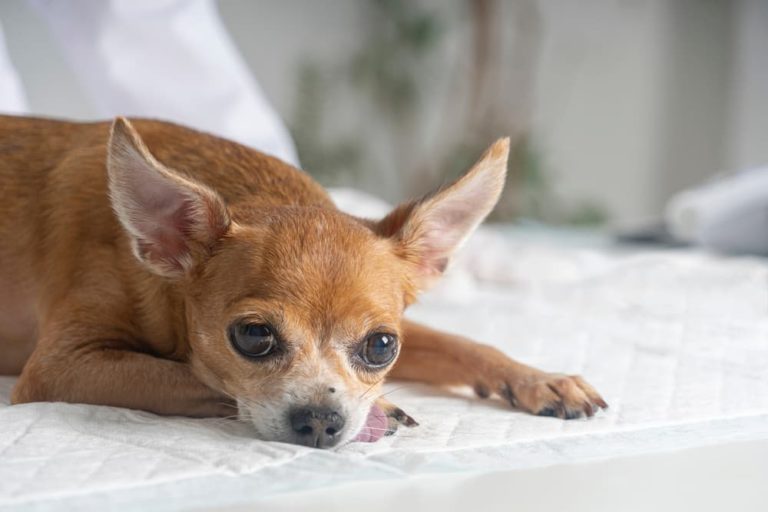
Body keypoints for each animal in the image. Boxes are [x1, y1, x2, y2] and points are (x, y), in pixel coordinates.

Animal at [0, 115, 608, 448]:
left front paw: (538, 377)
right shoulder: (62, 365)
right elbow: (196, 378)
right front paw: (383, 412)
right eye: (252, 336)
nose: (320, 420)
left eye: (382, 345)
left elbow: (461, 343)